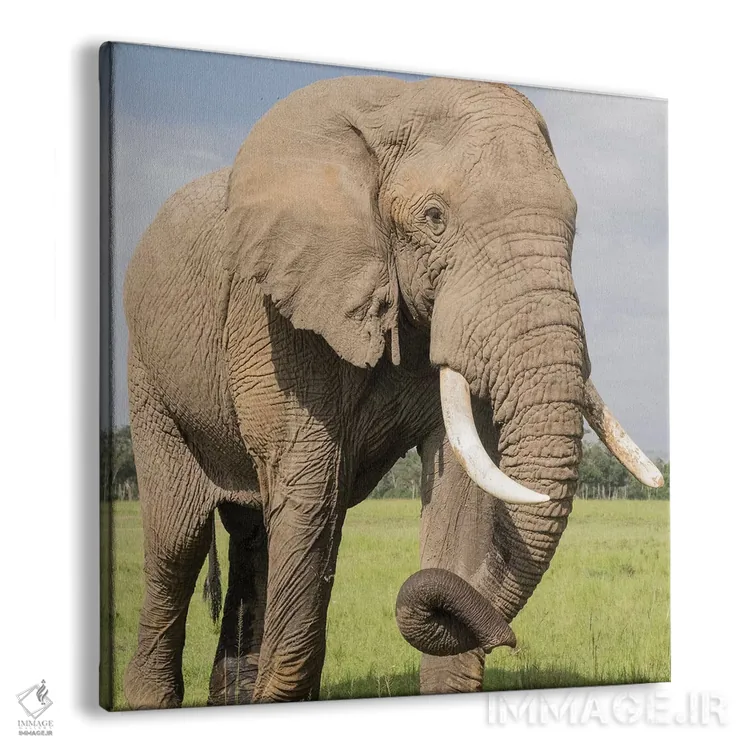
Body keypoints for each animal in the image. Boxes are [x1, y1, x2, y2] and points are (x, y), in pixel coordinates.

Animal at [122, 75, 663, 709]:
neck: (392, 104)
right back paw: (153, 700)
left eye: (573, 226)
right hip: (148, 372)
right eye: (434, 217)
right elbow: (308, 494)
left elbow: (460, 496)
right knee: (179, 539)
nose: (510, 640)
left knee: (254, 532)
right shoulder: (277, 313)